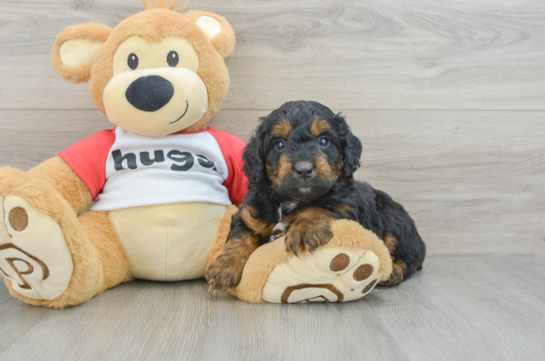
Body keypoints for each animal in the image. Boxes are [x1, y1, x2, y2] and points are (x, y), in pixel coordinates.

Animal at [207, 100, 424, 290]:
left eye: (324, 141)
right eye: (279, 144)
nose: (304, 170)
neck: (292, 199)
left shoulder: (347, 207)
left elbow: (320, 206)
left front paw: (304, 229)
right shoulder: (249, 215)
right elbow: (239, 238)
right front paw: (223, 268)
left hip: (394, 222)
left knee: (410, 259)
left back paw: (393, 272)